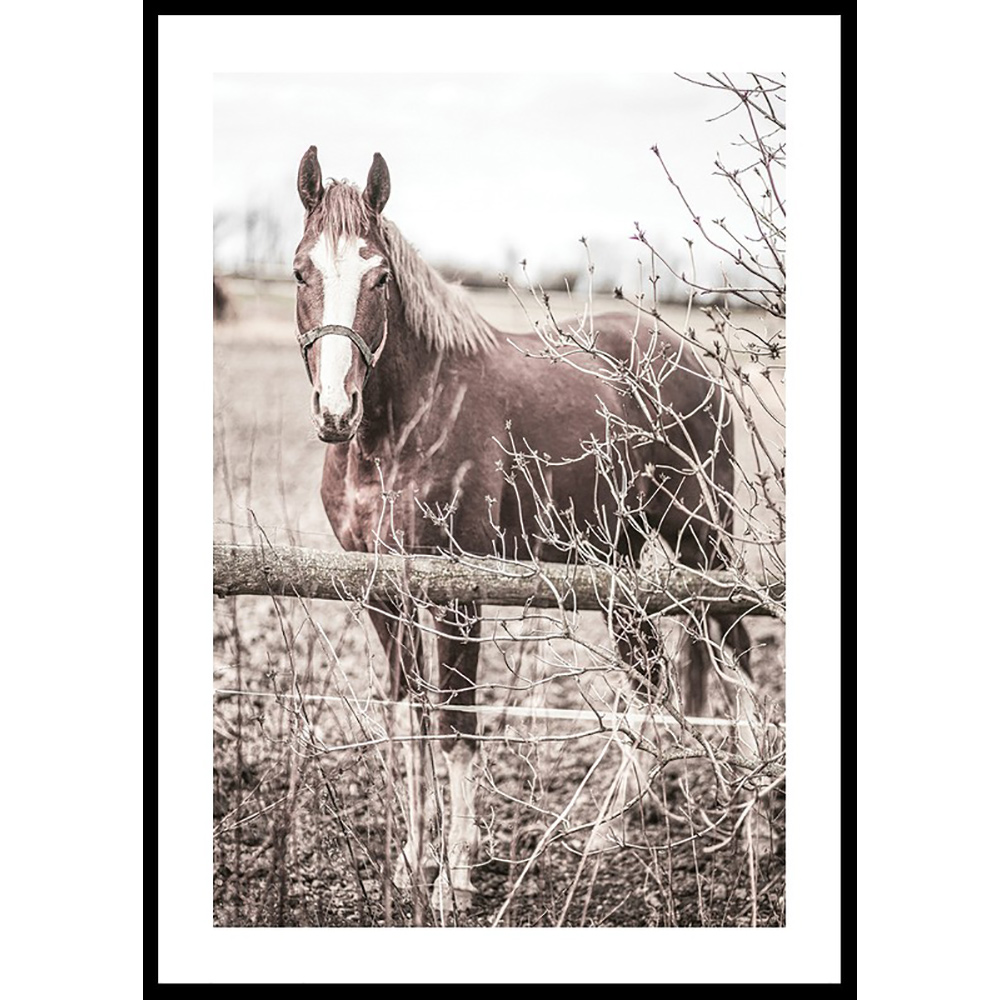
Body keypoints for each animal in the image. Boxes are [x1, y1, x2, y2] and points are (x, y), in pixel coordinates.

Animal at [292, 147, 751, 912]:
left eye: (378, 275)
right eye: (302, 270)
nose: (336, 408)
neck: (400, 428)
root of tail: (687, 358)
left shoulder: (458, 594)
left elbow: (455, 727)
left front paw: (455, 875)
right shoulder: (380, 592)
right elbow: (409, 720)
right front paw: (411, 863)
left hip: (701, 539)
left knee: (736, 656)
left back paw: (754, 827)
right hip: (618, 563)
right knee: (651, 679)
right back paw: (609, 833)